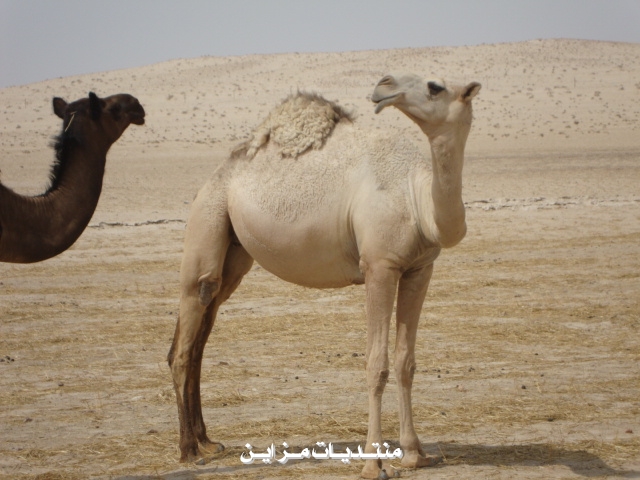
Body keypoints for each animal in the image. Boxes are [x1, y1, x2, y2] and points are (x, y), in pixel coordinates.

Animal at [168, 73, 480, 478]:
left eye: (434, 87)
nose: (384, 84)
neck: (416, 197)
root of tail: (218, 174)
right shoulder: (379, 266)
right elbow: (376, 364)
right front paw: (374, 463)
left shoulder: (419, 268)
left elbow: (405, 362)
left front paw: (415, 454)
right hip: (206, 215)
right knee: (189, 329)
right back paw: (189, 450)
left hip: (234, 252)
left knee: (201, 333)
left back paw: (207, 440)